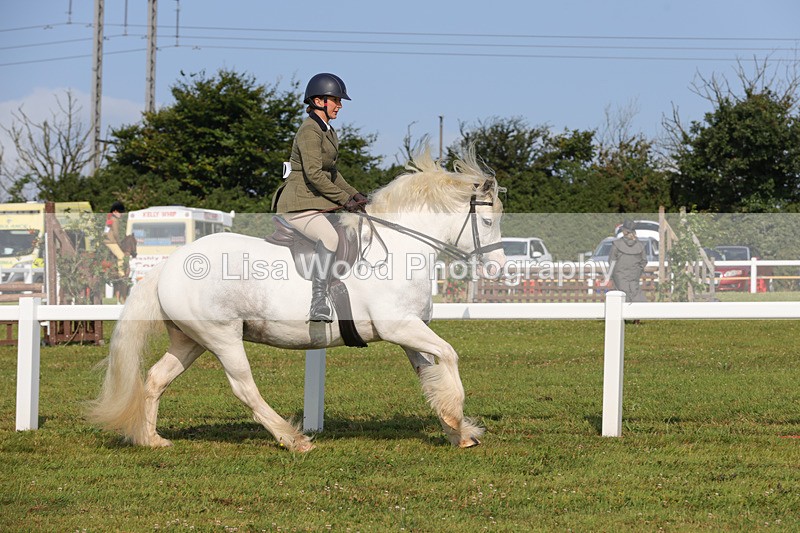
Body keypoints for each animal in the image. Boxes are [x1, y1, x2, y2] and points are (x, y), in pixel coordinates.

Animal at [88, 147, 506, 452]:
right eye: (488, 222)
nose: (499, 269)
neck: (398, 246)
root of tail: (169, 264)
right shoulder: (399, 326)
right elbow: (450, 355)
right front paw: (458, 420)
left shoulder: (410, 332)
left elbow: (430, 375)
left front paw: (457, 429)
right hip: (222, 337)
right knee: (244, 388)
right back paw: (294, 439)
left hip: (190, 340)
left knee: (156, 379)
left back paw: (151, 439)